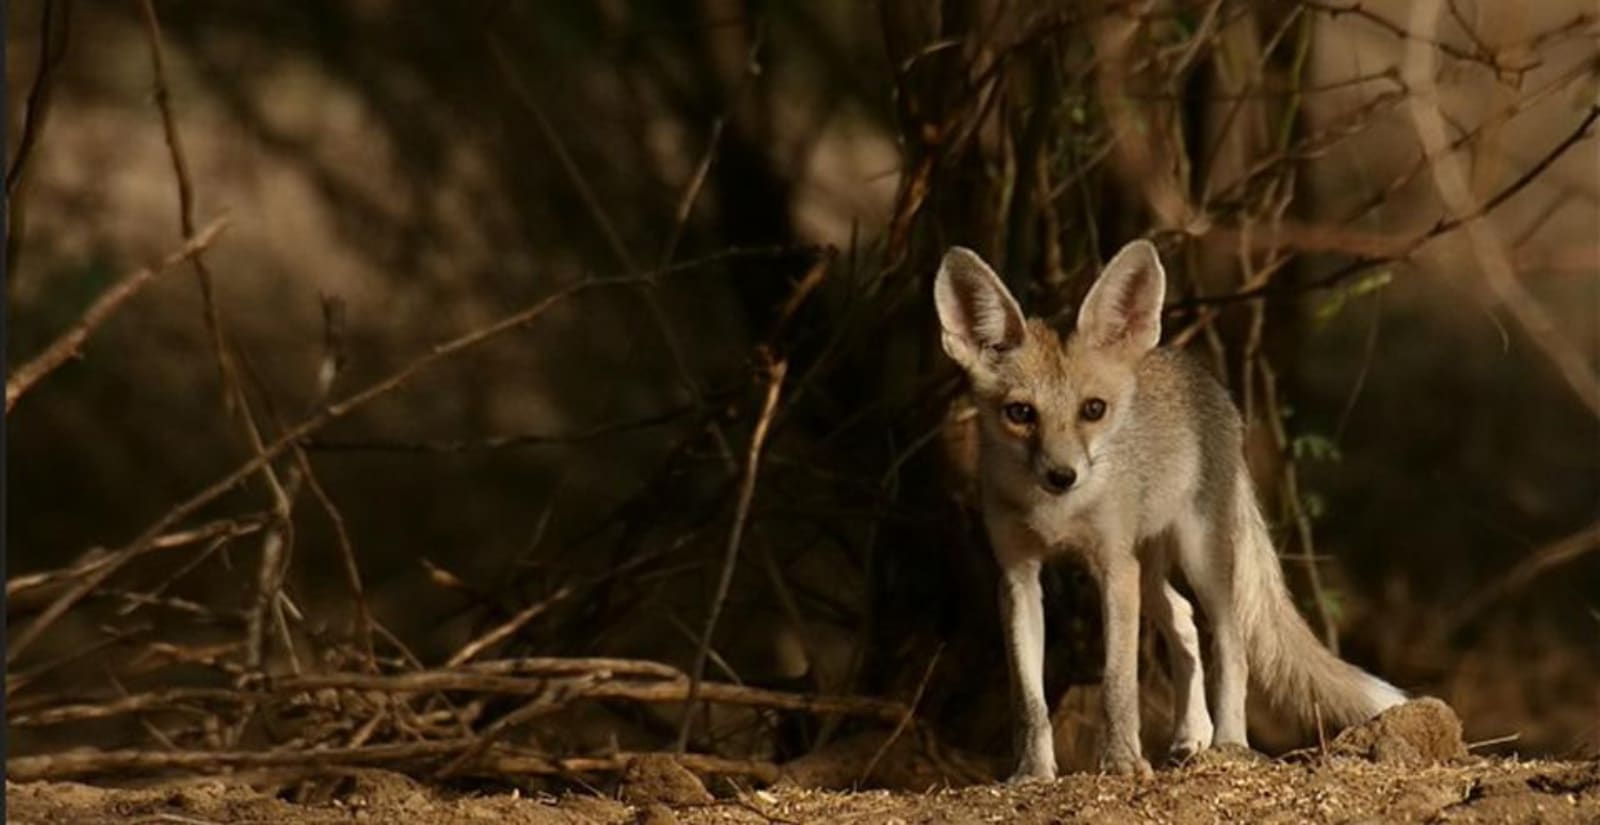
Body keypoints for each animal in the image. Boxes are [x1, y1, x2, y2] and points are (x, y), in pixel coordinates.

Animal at [933, 239, 1406, 780]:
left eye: (1093, 410)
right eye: (1020, 414)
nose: (1062, 476)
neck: (1057, 516)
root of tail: (1203, 376)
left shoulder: (1114, 569)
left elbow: (1118, 684)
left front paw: (1121, 763)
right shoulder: (1018, 577)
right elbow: (1029, 700)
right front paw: (1033, 772)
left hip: (1200, 558)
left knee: (1231, 645)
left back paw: (1228, 742)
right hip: (1150, 570)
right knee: (1183, 622)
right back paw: (1190, 737)